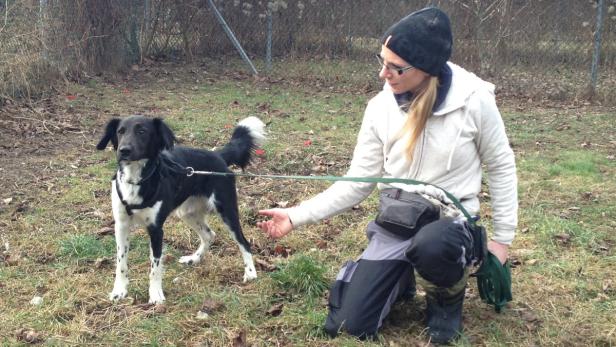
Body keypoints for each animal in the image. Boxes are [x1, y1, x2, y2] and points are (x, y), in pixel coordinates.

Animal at [95, 115, 264, 304]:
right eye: (120, 131)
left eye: (142, 131)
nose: (124, 150)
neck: (136, 179)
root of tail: (217, 154)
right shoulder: (121, 225)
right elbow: (121, 262)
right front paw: (120, 290)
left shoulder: (156, 229)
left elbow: (155, 266)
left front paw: (155, 294)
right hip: (187, 213)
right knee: (209, 235)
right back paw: (194, 259)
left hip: (226, 210)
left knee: (243, 241)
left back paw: (250, 272)